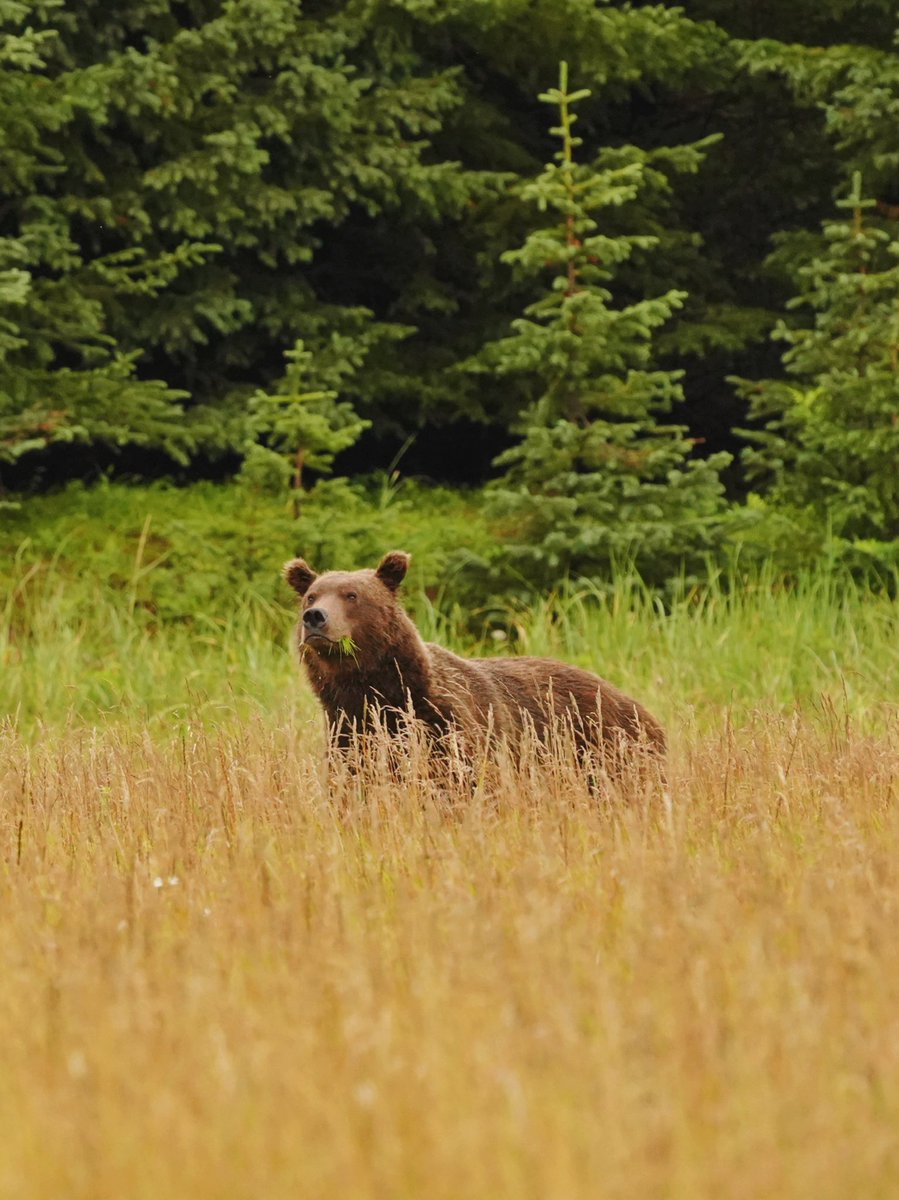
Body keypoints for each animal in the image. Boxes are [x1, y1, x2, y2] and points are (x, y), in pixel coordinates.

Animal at [283, 550, 666, 775]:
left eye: (351, 595)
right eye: (312, 595)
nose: (314, 618)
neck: (373, 690)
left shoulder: (450, 725)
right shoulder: (350, 733)